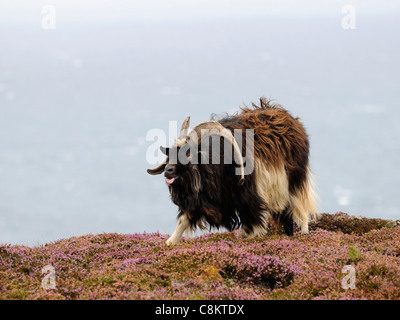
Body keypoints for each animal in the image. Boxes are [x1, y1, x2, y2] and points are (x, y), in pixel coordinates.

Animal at [147, 97, 318, 245]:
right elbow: (184, 220)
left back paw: (303, 233)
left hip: (294, 180)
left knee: (298, 207)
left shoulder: (249, 196)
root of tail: (291, 120)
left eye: (187, 154)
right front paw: (169, 243)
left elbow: (254, 220)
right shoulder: (202, 199)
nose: (168, 171)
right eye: (170, 154)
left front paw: (253, 238)